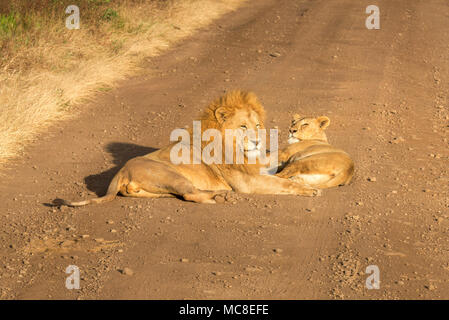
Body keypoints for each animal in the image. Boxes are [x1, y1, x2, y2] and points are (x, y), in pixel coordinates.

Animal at [60, 90, 318, 205]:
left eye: (257, 125)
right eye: (243, 127)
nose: (257, 141)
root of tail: (121, 172)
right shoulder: (248, 181)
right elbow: (282, 183)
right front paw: (308, 189)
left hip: (156, 190)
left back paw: (221, 193)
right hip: (170, 174)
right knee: (189, 194)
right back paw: (221, 197)